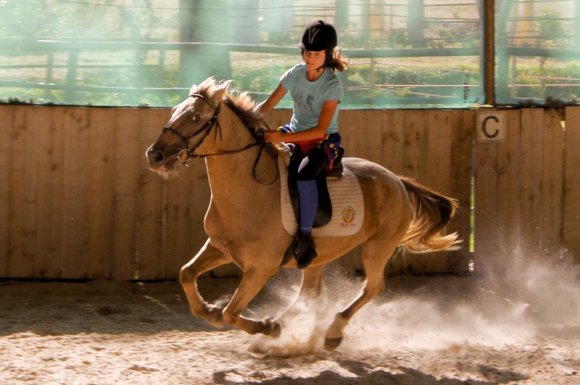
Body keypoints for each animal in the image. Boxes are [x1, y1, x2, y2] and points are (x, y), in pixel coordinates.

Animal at [146, 76, 462, 350]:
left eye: (196, 118)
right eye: (174, 111)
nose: (155, 155)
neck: (249, 192)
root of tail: (397, 180)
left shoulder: (260, 268)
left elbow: (232, 313)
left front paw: (259, 325)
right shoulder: (220, 247)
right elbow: (186, 274)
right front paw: (210, 310)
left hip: (378, 247)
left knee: (372, 287)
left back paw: (329, 331)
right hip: (318, 256)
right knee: (309, 294)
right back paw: (281, 327)